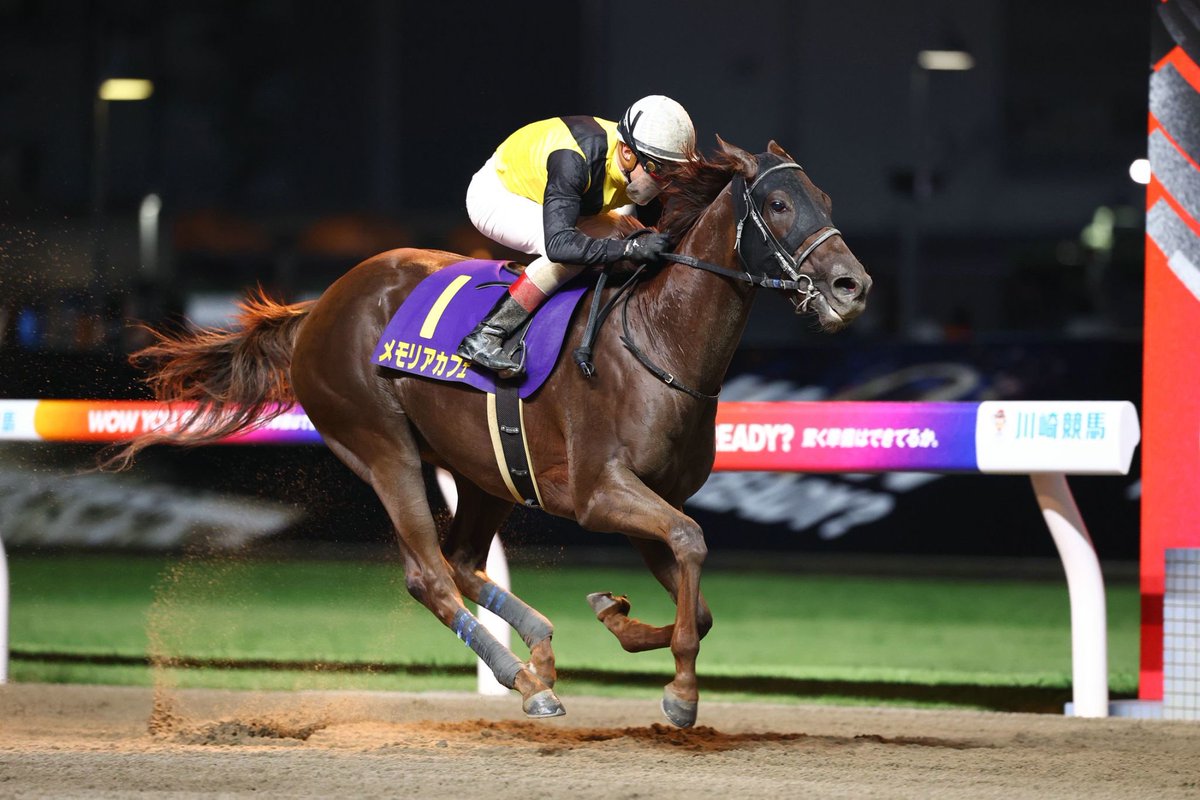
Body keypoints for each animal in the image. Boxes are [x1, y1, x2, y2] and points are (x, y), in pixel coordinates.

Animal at [111, 137, 872, 728]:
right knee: (429, 575)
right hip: (381, 448)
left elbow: (697, 597)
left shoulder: (650, 497)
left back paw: (539, 649)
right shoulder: (600, 492)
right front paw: (681, 694)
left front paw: (615, 615)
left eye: (828, 200)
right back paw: (524, 679)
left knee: (461, 558)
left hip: (486, 470)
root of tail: (318, 305)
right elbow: (690, 543)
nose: (852, 286)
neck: (658, 341)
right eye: (779, 206)